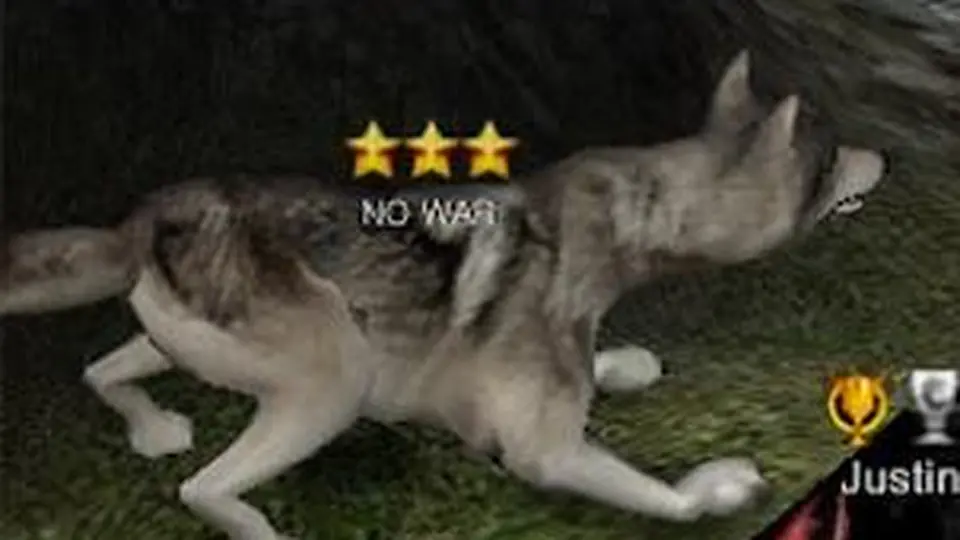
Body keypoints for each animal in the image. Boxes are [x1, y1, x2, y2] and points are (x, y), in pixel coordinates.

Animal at [1, 50, 886, 540]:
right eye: (835, 155)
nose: (885, 156)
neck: (642, 213)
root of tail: (140, 223)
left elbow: (598, 367)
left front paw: (625, 365)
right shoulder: (542, 451)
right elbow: (675, 503)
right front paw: (721, 488)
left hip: (188, 342)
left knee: (100, 375)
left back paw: (154, 430)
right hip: (332, 373)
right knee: (202, 490)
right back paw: (249, 520)